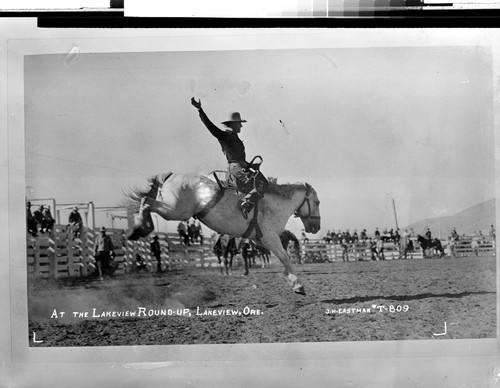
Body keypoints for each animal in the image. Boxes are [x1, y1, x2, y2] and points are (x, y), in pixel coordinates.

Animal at [125, 172, 320, 294]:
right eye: (317, 202)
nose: (316, 228)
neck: (273, 205)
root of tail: (171, 176)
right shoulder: (270, 238)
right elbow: (285, 257)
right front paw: (298, 284)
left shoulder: (261, 241)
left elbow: (280, 257)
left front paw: (290, 279)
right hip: (175, 211)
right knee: (147, 201)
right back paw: (140, 227)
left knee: (147, 201)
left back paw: (138, 230)